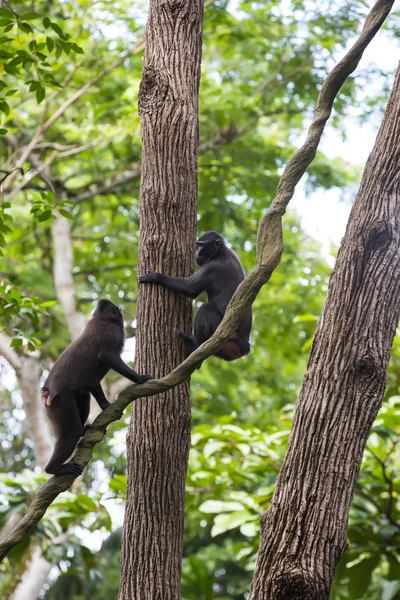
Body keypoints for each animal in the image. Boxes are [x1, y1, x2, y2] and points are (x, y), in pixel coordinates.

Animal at [41, 300, 152, 478]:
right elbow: (107, 356)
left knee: (84, 400)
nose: (119, 310)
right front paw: (140, 378)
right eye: (117, 310)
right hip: (60, 402)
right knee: (71, 431)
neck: (102, 318)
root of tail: (46, 391)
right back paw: (54, 469)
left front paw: (106, 405)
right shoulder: (112, 333)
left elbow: (93, 384)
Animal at [139, 230, 252, 360]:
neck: (219, 253)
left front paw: (155, 276)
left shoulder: (211, 267)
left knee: (204, 309)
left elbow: (189, 288)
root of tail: (244, 344)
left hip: (225, 335)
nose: (196, 253)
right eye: (197, 245)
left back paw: (194, 345)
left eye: (201, 245)